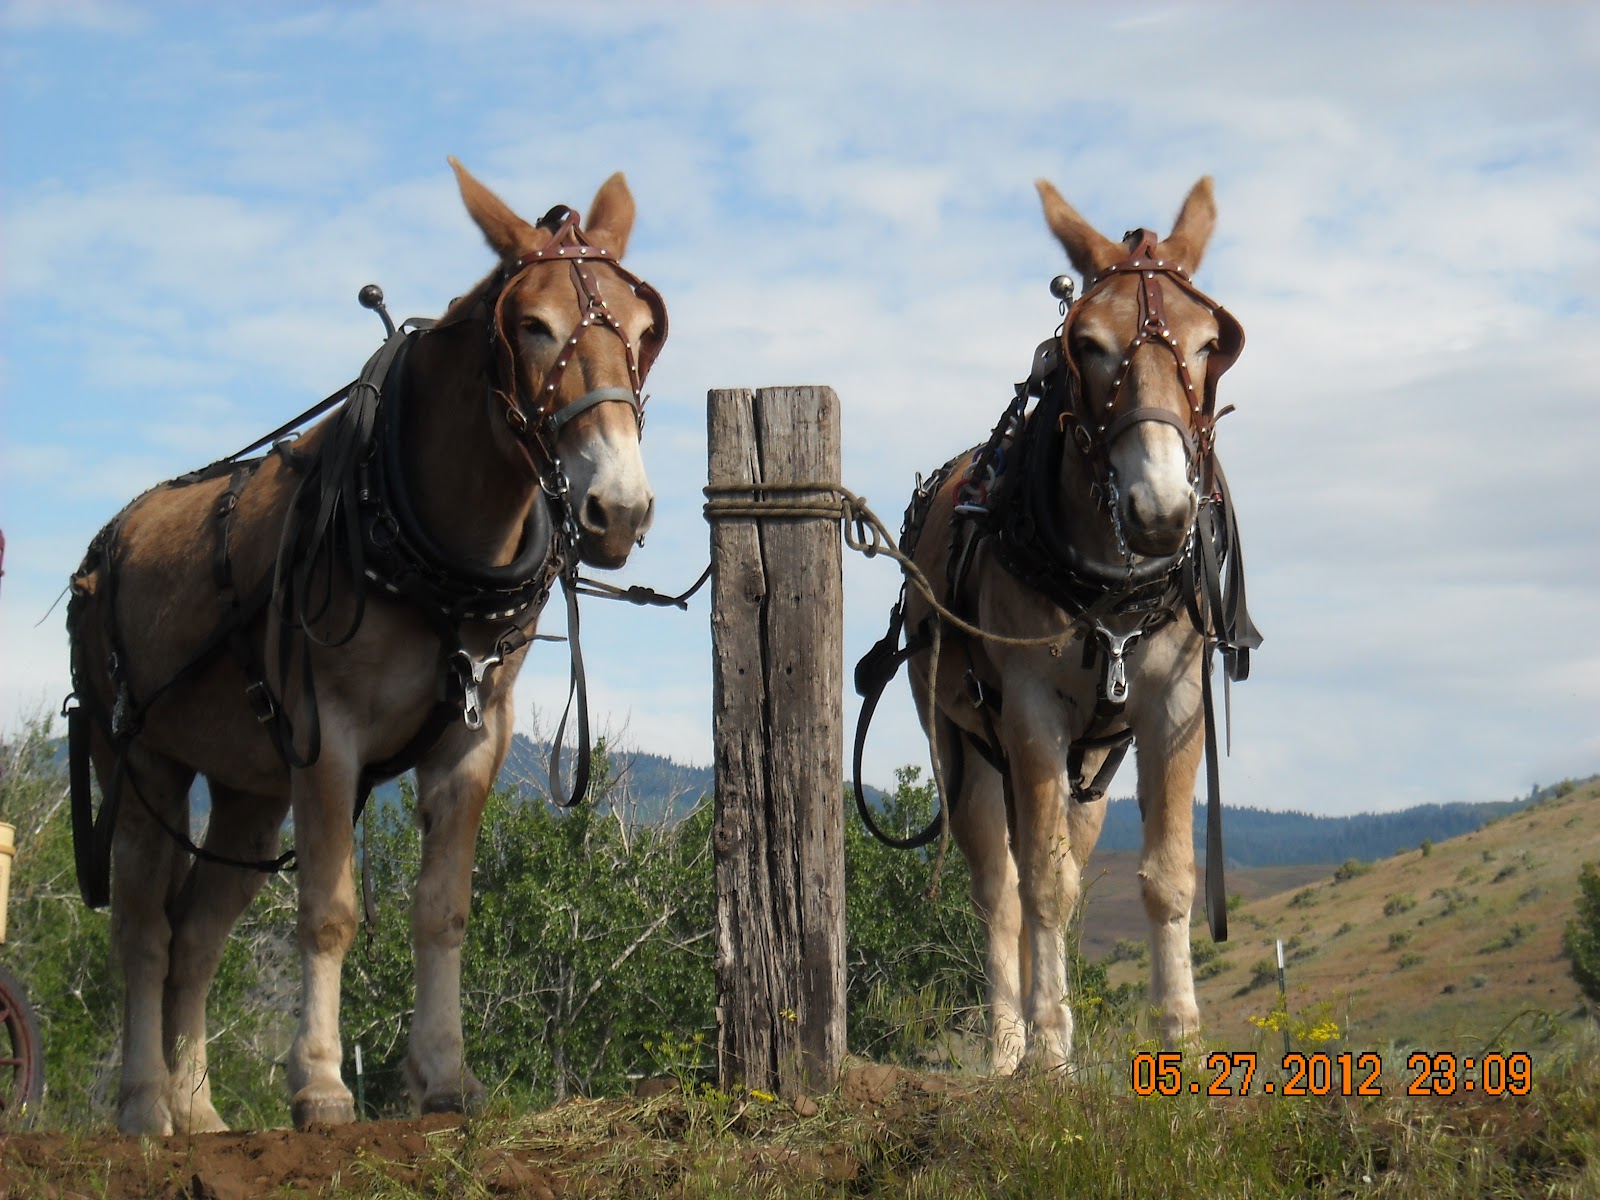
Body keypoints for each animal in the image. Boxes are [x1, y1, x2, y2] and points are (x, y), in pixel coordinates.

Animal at [64, 159, 668, 1133]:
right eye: (533, 326)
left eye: (645, 332)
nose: (620, 508)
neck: (428, 551)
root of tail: (101, 551)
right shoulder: (328, 734)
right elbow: (328, 911)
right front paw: (318, 1085)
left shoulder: (471, 739)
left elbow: (443, 910)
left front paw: (445, 1075)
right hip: (142, 760)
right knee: (145, 932)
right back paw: (147, 1107)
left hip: (248, 791)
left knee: (197, 936)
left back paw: (200, 1113)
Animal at [857, 176, 1257, 1074]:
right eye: (1091, 345)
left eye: (1209, 343)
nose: (1159, 513)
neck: (1109, 583)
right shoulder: (1030, 708)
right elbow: (1038, 880)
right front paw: (1046, 1049)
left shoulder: (1175, 705)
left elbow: (1167, 875)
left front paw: (1180, 1043)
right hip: (964, 744)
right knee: (1001, 886)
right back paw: (1009, 1043)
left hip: (1093, 764)